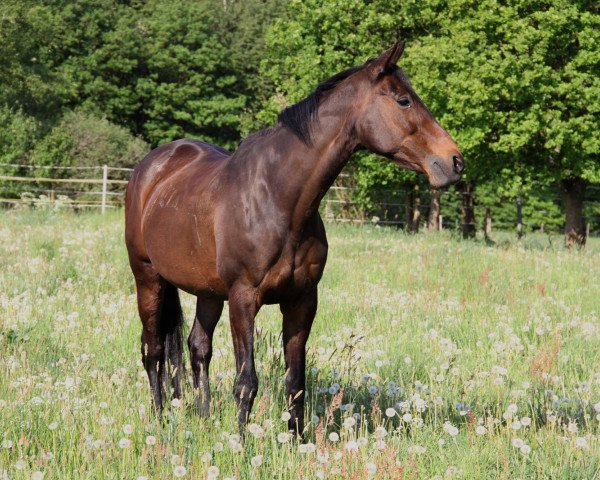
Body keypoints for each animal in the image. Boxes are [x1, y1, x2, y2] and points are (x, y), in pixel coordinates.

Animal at [125, 37, 464, 436]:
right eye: (403, 100)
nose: (454, 161)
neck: (278, 197)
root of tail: (151, 169)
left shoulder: (302, 300)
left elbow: (295, 381)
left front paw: (298, 440)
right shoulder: (243, 299)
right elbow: (247, 382)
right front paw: (240, 441)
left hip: (207, 291)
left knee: (198, 347)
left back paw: (204, 417)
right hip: (148, 277)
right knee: (153, 350)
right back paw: (160, 417)